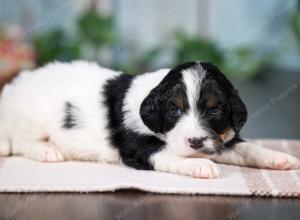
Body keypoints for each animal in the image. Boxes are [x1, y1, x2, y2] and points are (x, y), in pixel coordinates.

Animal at [0, 61, 298, 178]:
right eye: (174, 110)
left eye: (215, 110)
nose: (195, 142)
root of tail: (11, 90)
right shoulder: (137, 146)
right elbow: (166, 152)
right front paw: (201, 165)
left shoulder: (217, 139)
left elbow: (246, 147)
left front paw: (279, 158)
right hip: (30, 118)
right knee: (22, 141)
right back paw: (47, 150)